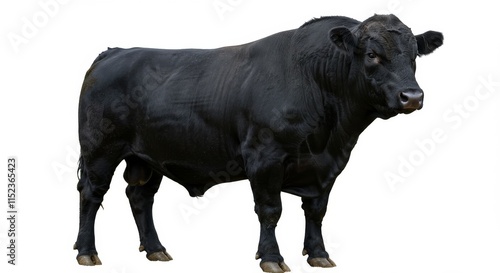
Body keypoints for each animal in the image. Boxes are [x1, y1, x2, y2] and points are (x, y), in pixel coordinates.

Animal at [73, 13, 442, 270]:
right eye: (371, 54)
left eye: (414, 56)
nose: (412, 96)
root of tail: (116, 52)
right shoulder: (265, 159)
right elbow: (270, 210)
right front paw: (272, 258)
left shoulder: (328, 166)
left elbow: (317, 211)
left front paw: (319, 254)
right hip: (99, 150)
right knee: (91, 194)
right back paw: (87, 252)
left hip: (148, 156)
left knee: (140, 196)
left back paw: (156, 249)